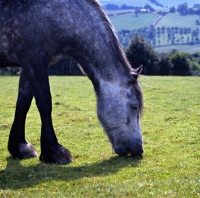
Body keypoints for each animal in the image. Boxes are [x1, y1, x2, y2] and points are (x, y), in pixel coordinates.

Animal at [0, 0, 144, 164]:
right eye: (134, 106)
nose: (139, 150)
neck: (58, 15)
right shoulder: (34, 60)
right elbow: (45, 104)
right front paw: (54, 151)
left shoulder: (28, 65)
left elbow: (23, 104)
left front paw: (20, 147)